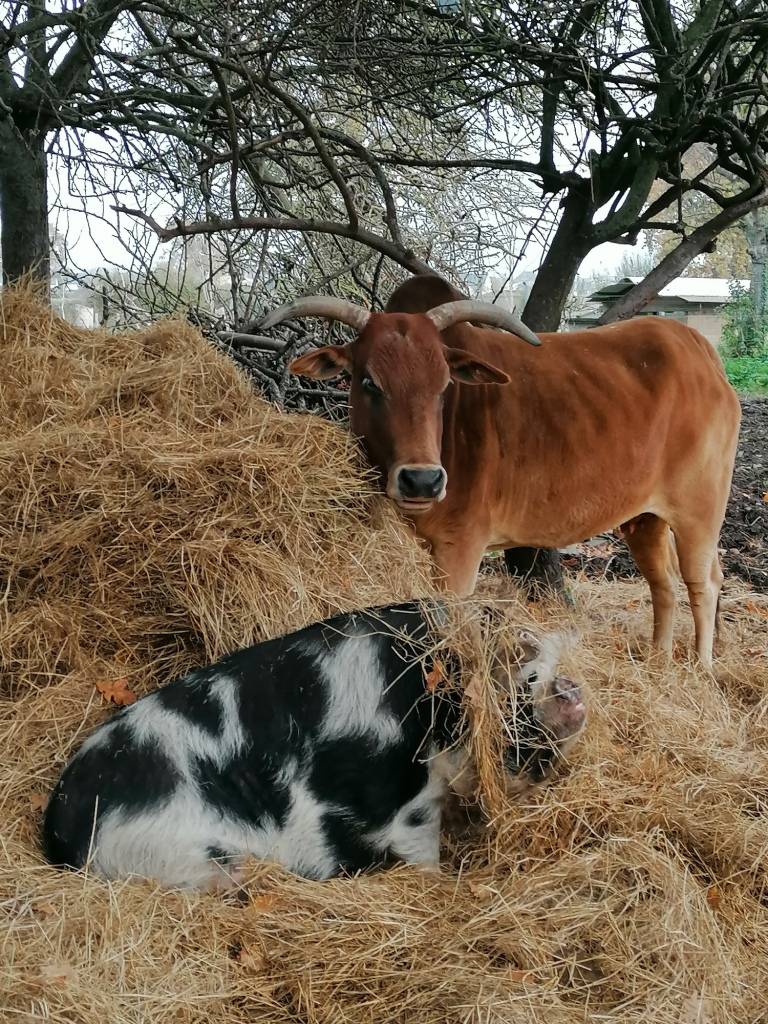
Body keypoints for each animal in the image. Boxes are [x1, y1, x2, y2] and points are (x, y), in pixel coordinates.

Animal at [42, 603, 586, 889]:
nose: (571, 691)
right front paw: (438, 887)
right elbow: (420, 849)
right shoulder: (401, 799)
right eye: (527, 680)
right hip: (186, 856)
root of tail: (60, 833)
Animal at [258, 274, 741, 669]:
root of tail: (703, 354)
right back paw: (659, 662)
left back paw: (700, 669)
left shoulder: (460, 550)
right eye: (368, 382)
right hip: (645, 518)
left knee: (703, 584)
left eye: (444, 386)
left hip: (699, 513)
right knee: (664, 585)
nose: (422, 480)